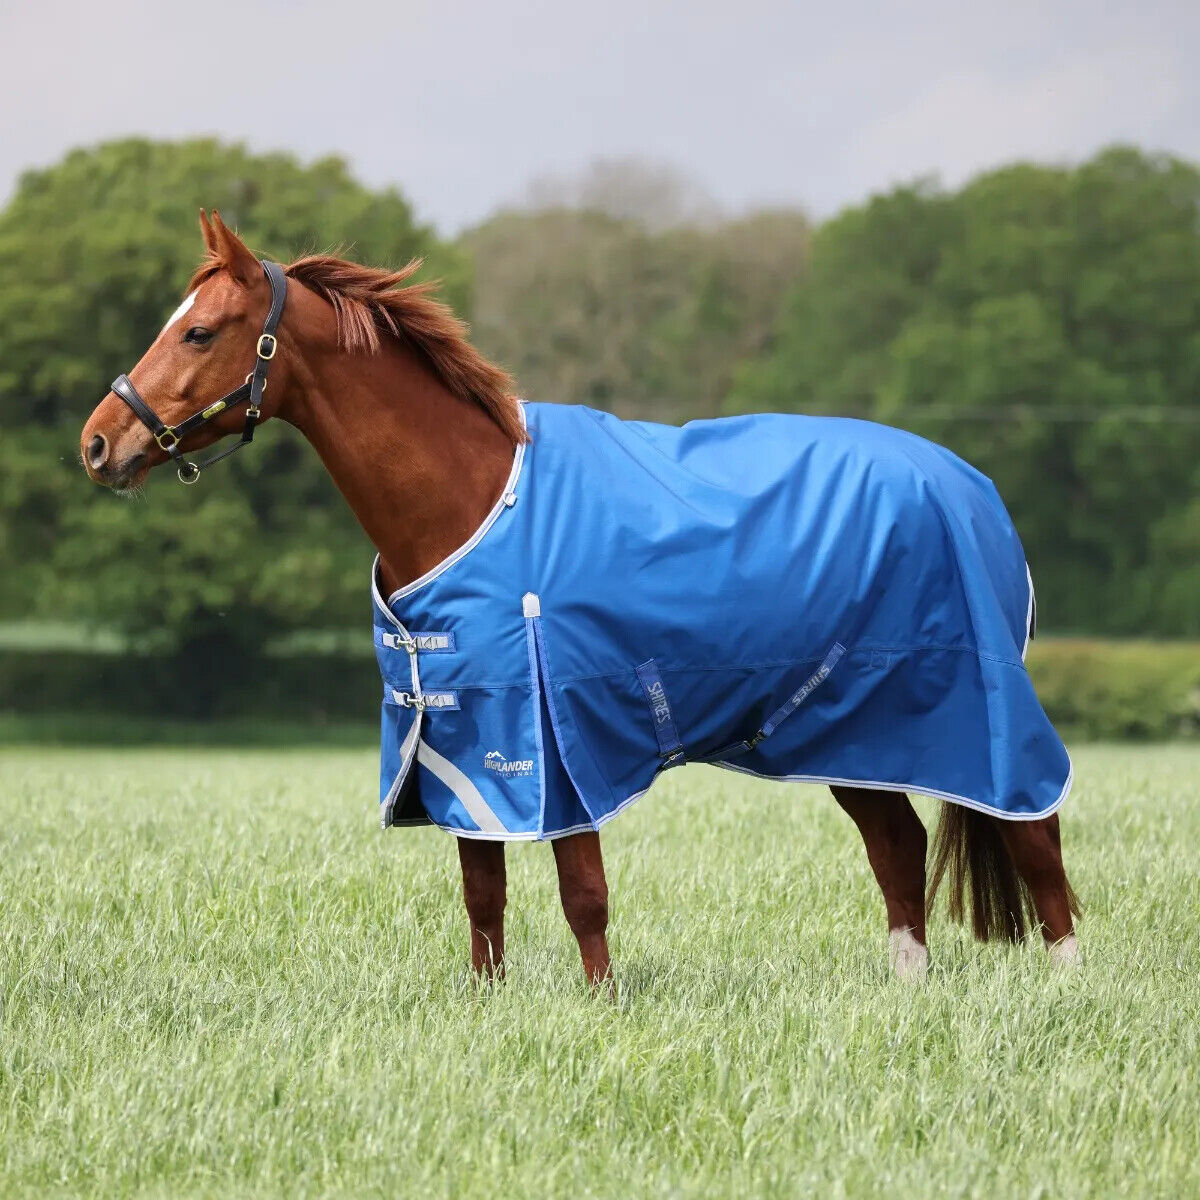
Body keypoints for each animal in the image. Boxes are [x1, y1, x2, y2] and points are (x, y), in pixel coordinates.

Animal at [81, 211, 1081, 985]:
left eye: (199, 332)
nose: (99, 443)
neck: (473, 498)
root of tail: (973, 486)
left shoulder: (557, 739)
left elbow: (583, 894)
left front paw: (603, 1007)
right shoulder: (461, 740)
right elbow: (483, 896)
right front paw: (486, 1006)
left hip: (975, 711)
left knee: (1036, 833)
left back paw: (1067, 986)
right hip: (851, 728)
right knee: (898, 847)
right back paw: (909, 989)